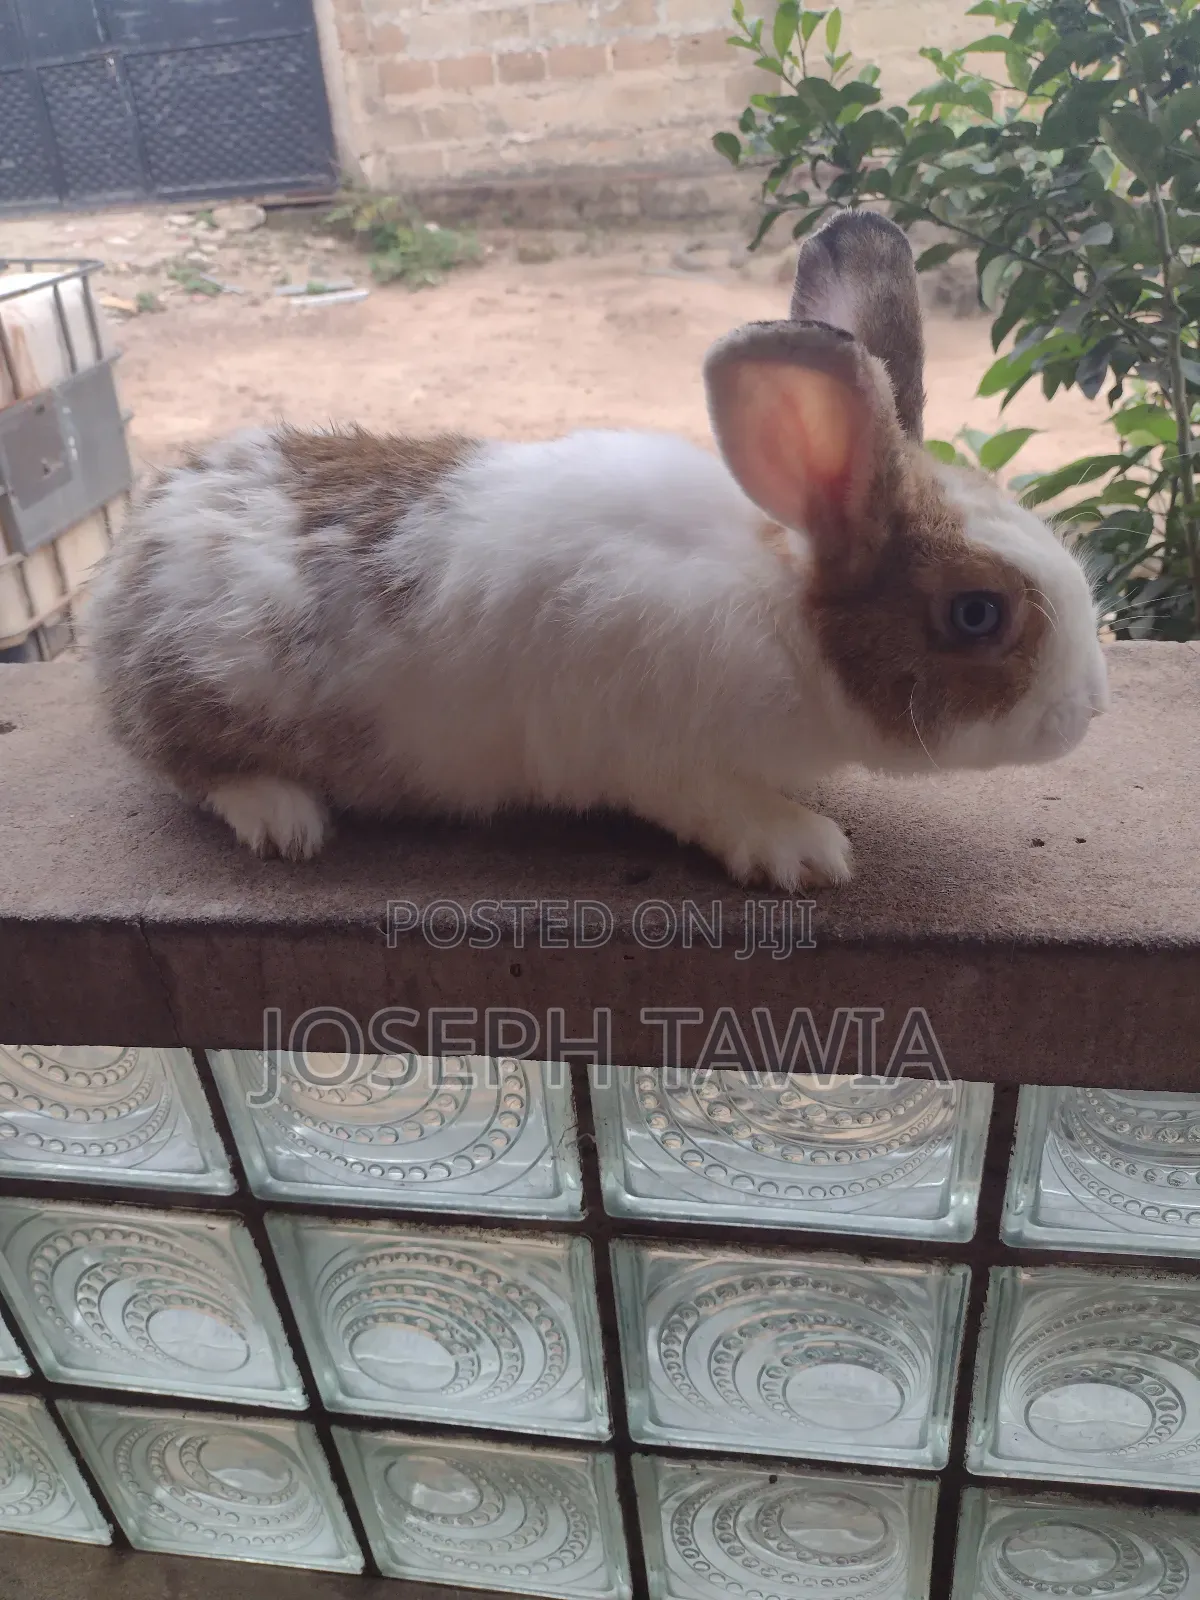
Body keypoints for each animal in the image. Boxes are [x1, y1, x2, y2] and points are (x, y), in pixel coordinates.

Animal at [85, 210, 1108, 890]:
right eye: (976, 614)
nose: (1090, 710)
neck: (784, 616)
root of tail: (124, 572)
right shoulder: (657, 753)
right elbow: (718, 804)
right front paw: (805, 849)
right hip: (208, 690)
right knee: (190, 767)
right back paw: (285, 818)